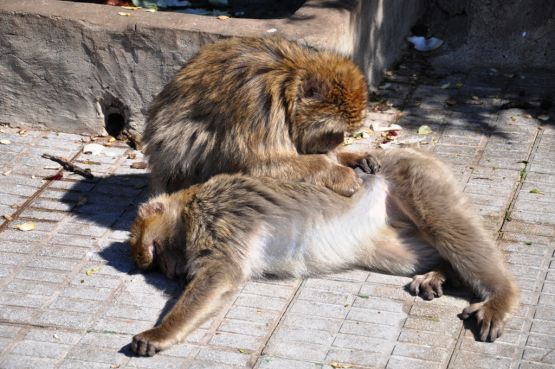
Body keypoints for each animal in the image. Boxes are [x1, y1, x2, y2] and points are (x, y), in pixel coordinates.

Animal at [128, 148, 520, 356]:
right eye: (161, 266)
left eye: (157, 254)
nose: (172, 273)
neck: (189, 204)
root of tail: (413, 151)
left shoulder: (217, 218)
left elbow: (221, 274)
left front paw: (159, 333)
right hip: (387, 229)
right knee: (406, 251)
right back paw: (440, 270)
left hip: (417, 176)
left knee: (447, 226)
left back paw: (501, 293)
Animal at [142, 37, 382, 197]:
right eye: (334, 131)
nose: (338, 141)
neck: (286, 84)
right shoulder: (258, 106)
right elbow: (259, 166)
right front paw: (337, 171)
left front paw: (351, 156)